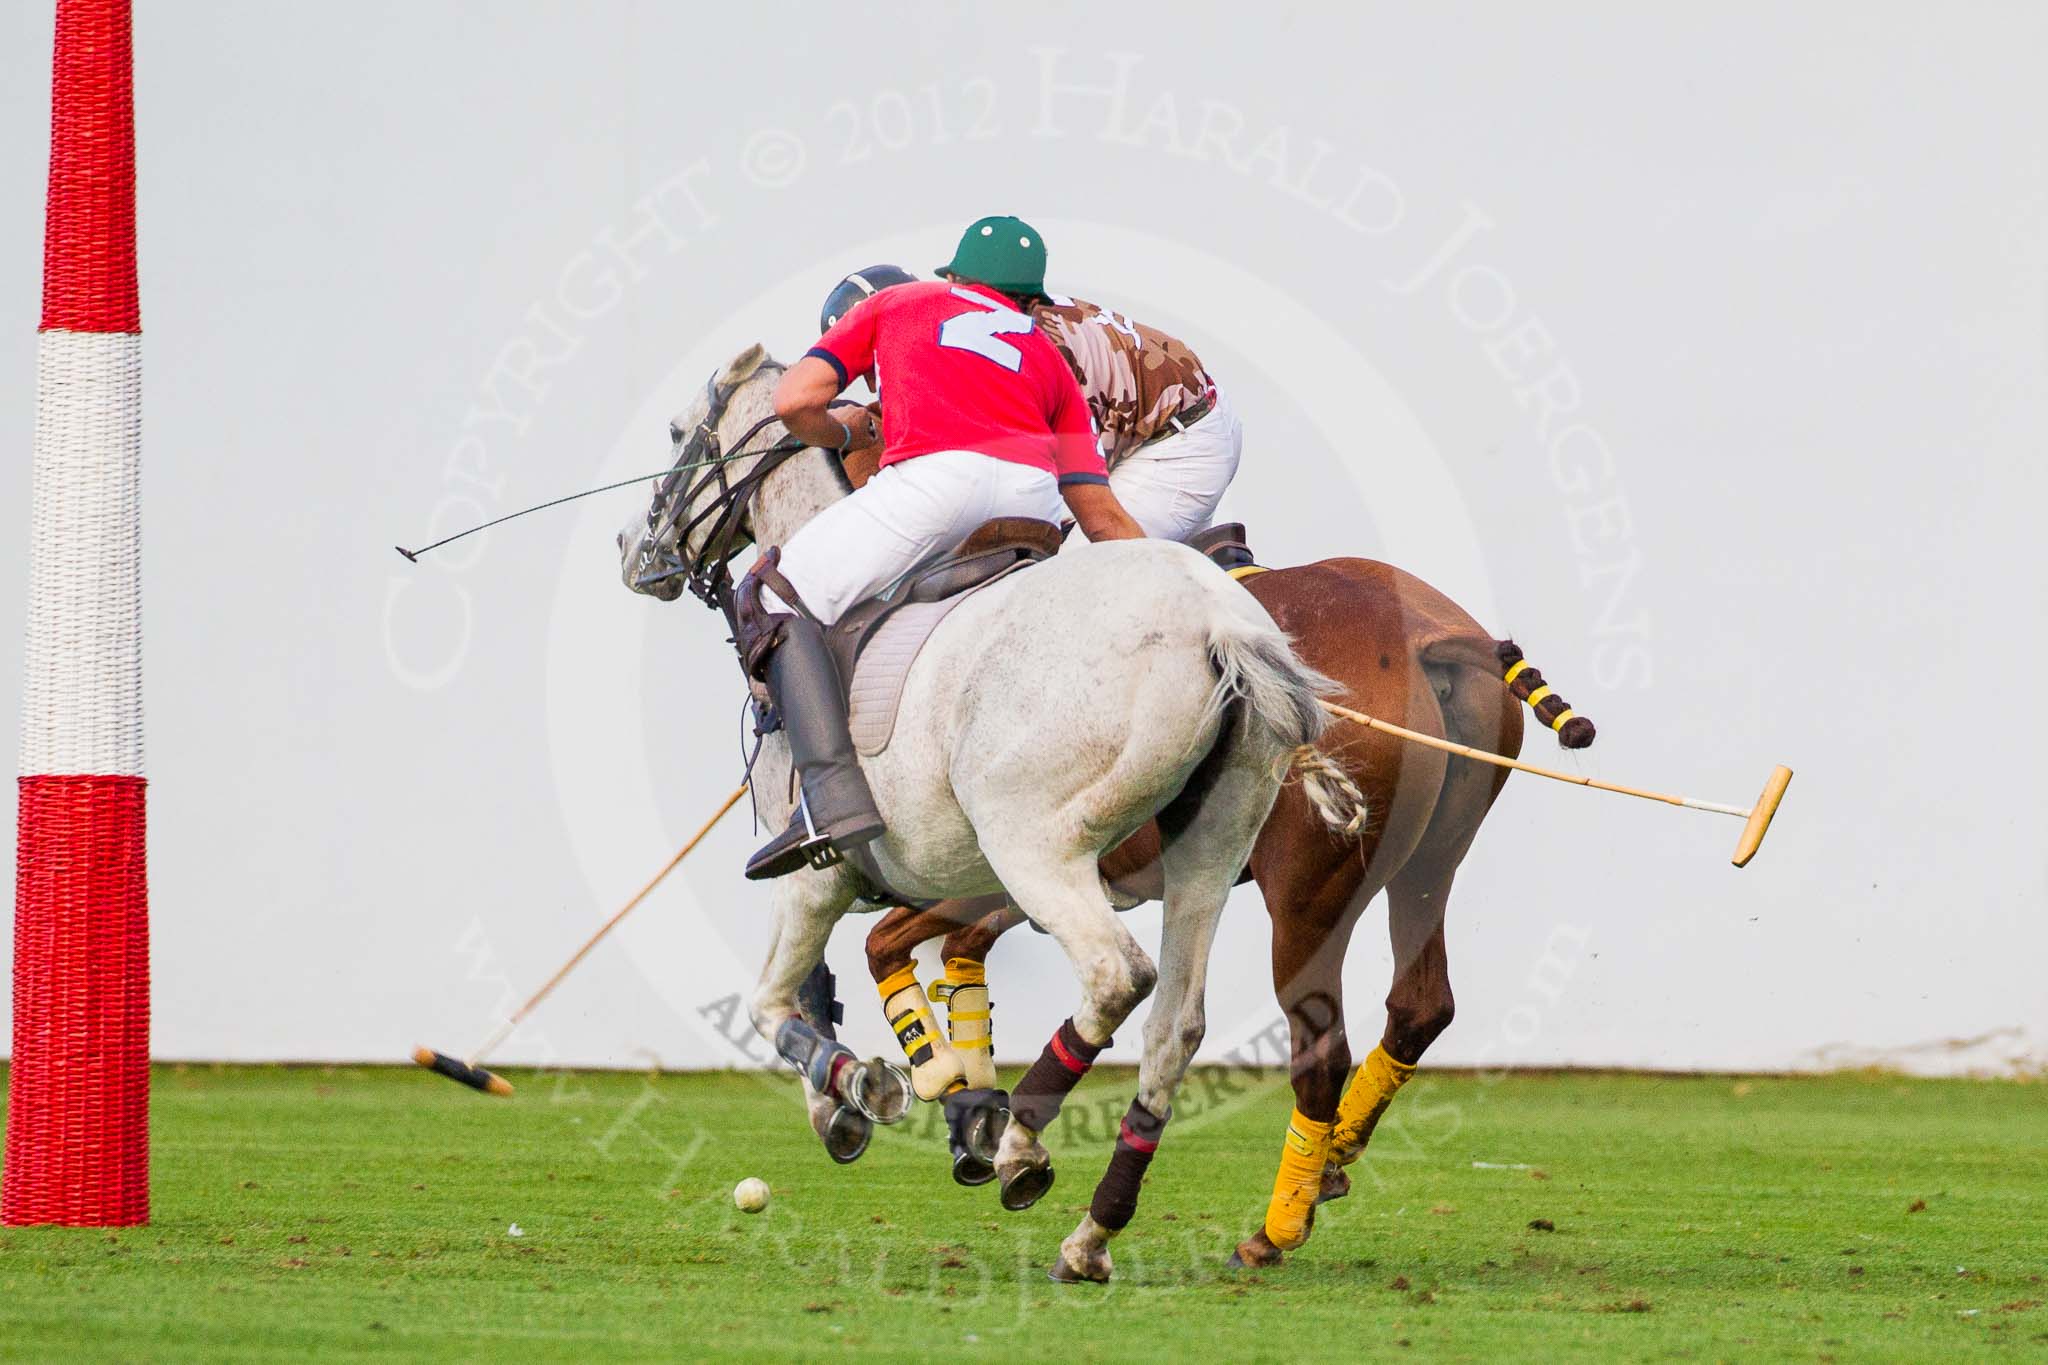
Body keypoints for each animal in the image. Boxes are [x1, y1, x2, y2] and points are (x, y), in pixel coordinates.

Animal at [614, 347, 1368, 1285]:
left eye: (678, 431)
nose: (632, 549)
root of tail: (1223, 625)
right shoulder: (926, 883)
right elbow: (843, 978)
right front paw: (913, 1100)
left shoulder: (821, 875)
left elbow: (772, 1001)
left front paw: (863, 1089)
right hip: (1210, 847)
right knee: (1175, 1024)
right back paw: (1090, 1230)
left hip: (1038, 844)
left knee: (1117, 976)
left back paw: (1024, 1147)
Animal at [856, 556, 1589, 1268]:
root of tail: (1430, 636)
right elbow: (930, 947)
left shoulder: (1011, 862)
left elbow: (885, 940)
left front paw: (958, 1097)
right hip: (1431, 864)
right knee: (1420, 1004)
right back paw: (1333, 1157)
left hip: (1306, 899)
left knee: (1320, 1050)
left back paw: (1275, 1227)